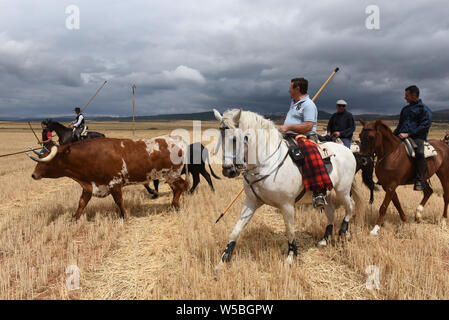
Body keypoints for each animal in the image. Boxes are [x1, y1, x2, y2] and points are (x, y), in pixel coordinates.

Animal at [27, 135, 189, 220]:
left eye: (47, 161)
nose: (34, 175)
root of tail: (176, 138)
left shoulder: (114, 183)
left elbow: (119, 201)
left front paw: (125, 216)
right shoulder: (89, 186)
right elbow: (81, 203)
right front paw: (74, 219)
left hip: (172, 174)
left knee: (181, 186)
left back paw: (174, 205)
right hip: (169, 176)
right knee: (177, 188)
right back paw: (174, 205)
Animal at [214, 109, 364, 264]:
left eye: (234, 139)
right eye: (221, 138)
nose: (228, 170)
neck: (267, 162)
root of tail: (348, 151)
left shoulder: (286, 205)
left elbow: (290, 230)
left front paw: (291, 255)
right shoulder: (251, 201)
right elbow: (236, 229)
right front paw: (224, 257)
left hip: (343, 190)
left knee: (351, 205)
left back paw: (344, 231)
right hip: (327, 192)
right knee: (331, 212)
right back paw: (325, 239)